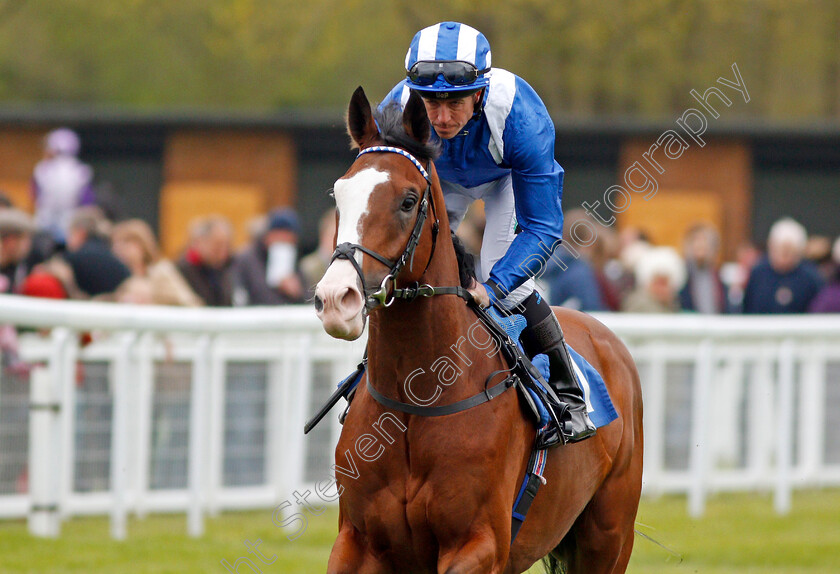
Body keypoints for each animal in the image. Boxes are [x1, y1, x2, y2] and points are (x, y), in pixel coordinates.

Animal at [312, 86, 648, 574]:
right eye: (339, 194)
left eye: (408, 201)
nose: (338, 299)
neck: (417, 399)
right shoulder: (357, 541)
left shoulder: (480, 542)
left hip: (609, 536)